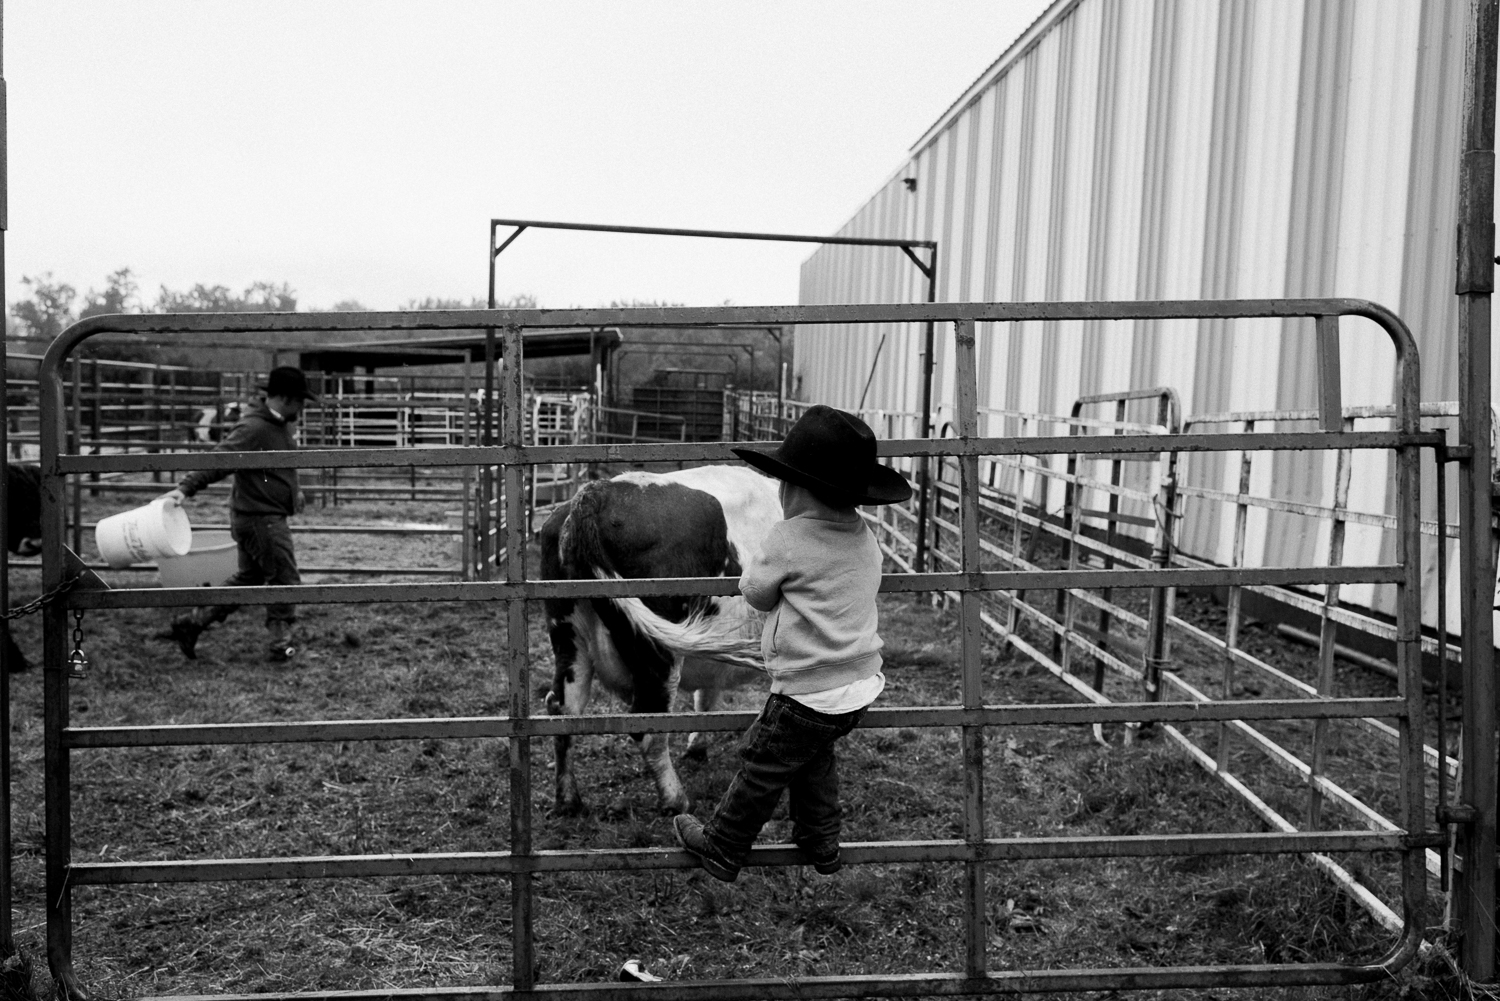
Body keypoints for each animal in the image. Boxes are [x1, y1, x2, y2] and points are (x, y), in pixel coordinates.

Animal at [540, 465, 780, 816]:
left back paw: (568, 799)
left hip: (568, 634)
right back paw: (675, 799)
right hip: (656, 651)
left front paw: (697, 747)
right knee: (648, 724)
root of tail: (597, 492)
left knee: (562, 709)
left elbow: (705, 697)